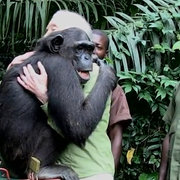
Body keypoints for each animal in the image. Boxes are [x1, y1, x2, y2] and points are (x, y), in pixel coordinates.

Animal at [0, 27, 116, 179]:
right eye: (80, 48)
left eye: (90, 49)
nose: (88, 58)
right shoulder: (61, 68)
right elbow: (77, 122)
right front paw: (108, 73)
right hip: (21, 158)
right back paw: (44, 169)